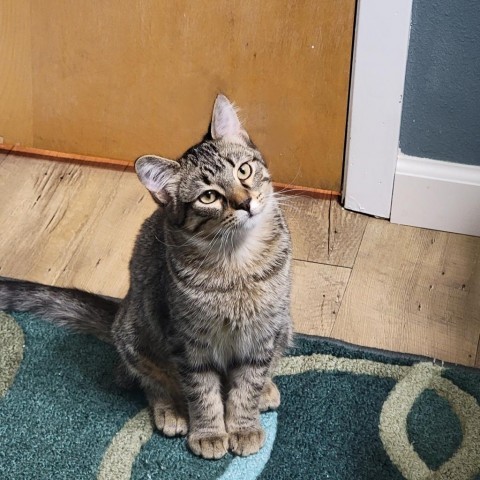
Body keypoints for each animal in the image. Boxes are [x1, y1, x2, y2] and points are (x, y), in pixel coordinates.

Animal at [0, 94, 292, 458]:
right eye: (209, 196)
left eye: (244, 170)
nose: (246, 202)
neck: (237, 263)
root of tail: (119, 312)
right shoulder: (187, 342)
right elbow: (202, 392)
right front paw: (209, 432)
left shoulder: (262, 333)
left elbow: (247, 385)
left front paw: (243, 425)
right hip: (137, 333)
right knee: (152, 381)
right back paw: (171, 411)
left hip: (284, 327)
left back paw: (267, 389)